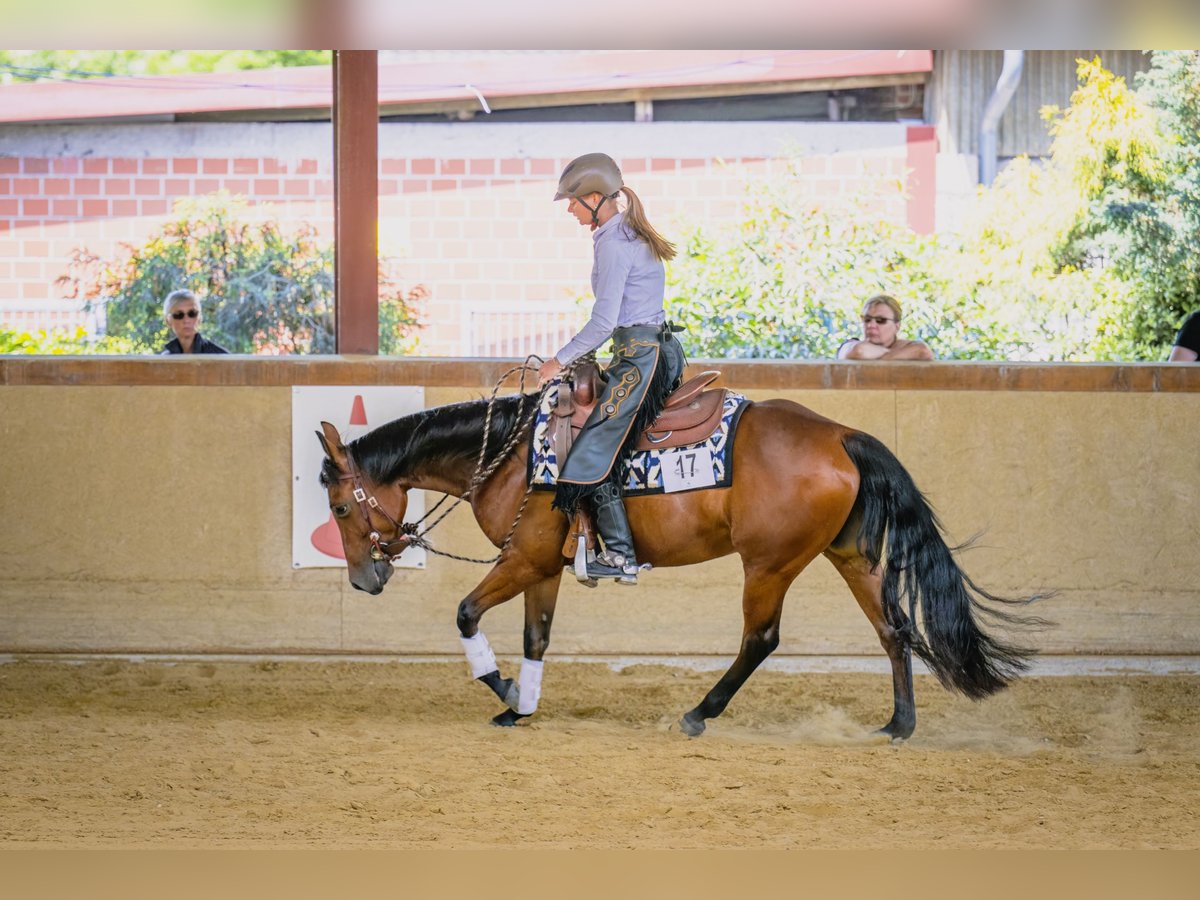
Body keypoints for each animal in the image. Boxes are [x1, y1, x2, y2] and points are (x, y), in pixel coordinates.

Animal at [316, 385, 1040, 740]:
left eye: (342, 507)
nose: (363, 578)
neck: (516, 459)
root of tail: (841, 434)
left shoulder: (521, 558)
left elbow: (466, 613)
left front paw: (505, 693)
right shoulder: (541, 568)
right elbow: (536, 639)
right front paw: (522, 706)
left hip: (769, 564)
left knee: (761, 638)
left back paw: (699, 714)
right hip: (851, 556)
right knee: (894, 629)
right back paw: (899, 725)